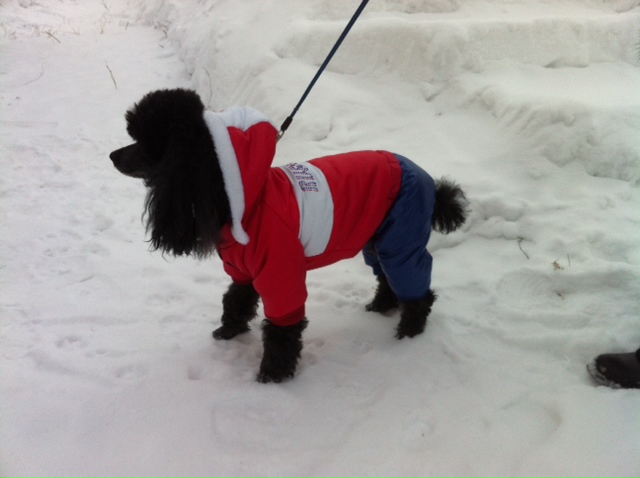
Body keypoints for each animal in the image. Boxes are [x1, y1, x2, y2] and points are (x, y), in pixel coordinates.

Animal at [110, 88, 468, 383]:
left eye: (145, 142)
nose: (113, 155)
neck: (242, 202)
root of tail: (431, 185)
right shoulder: (245, 270)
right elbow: (236, 300)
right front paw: (228, 331)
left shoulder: (280, 273)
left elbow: (282, 328)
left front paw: (273, 375)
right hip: (380, 241)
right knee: (388, 279)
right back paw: (380, 308)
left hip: (402, 240)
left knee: (416, 291)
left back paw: (409, 332)